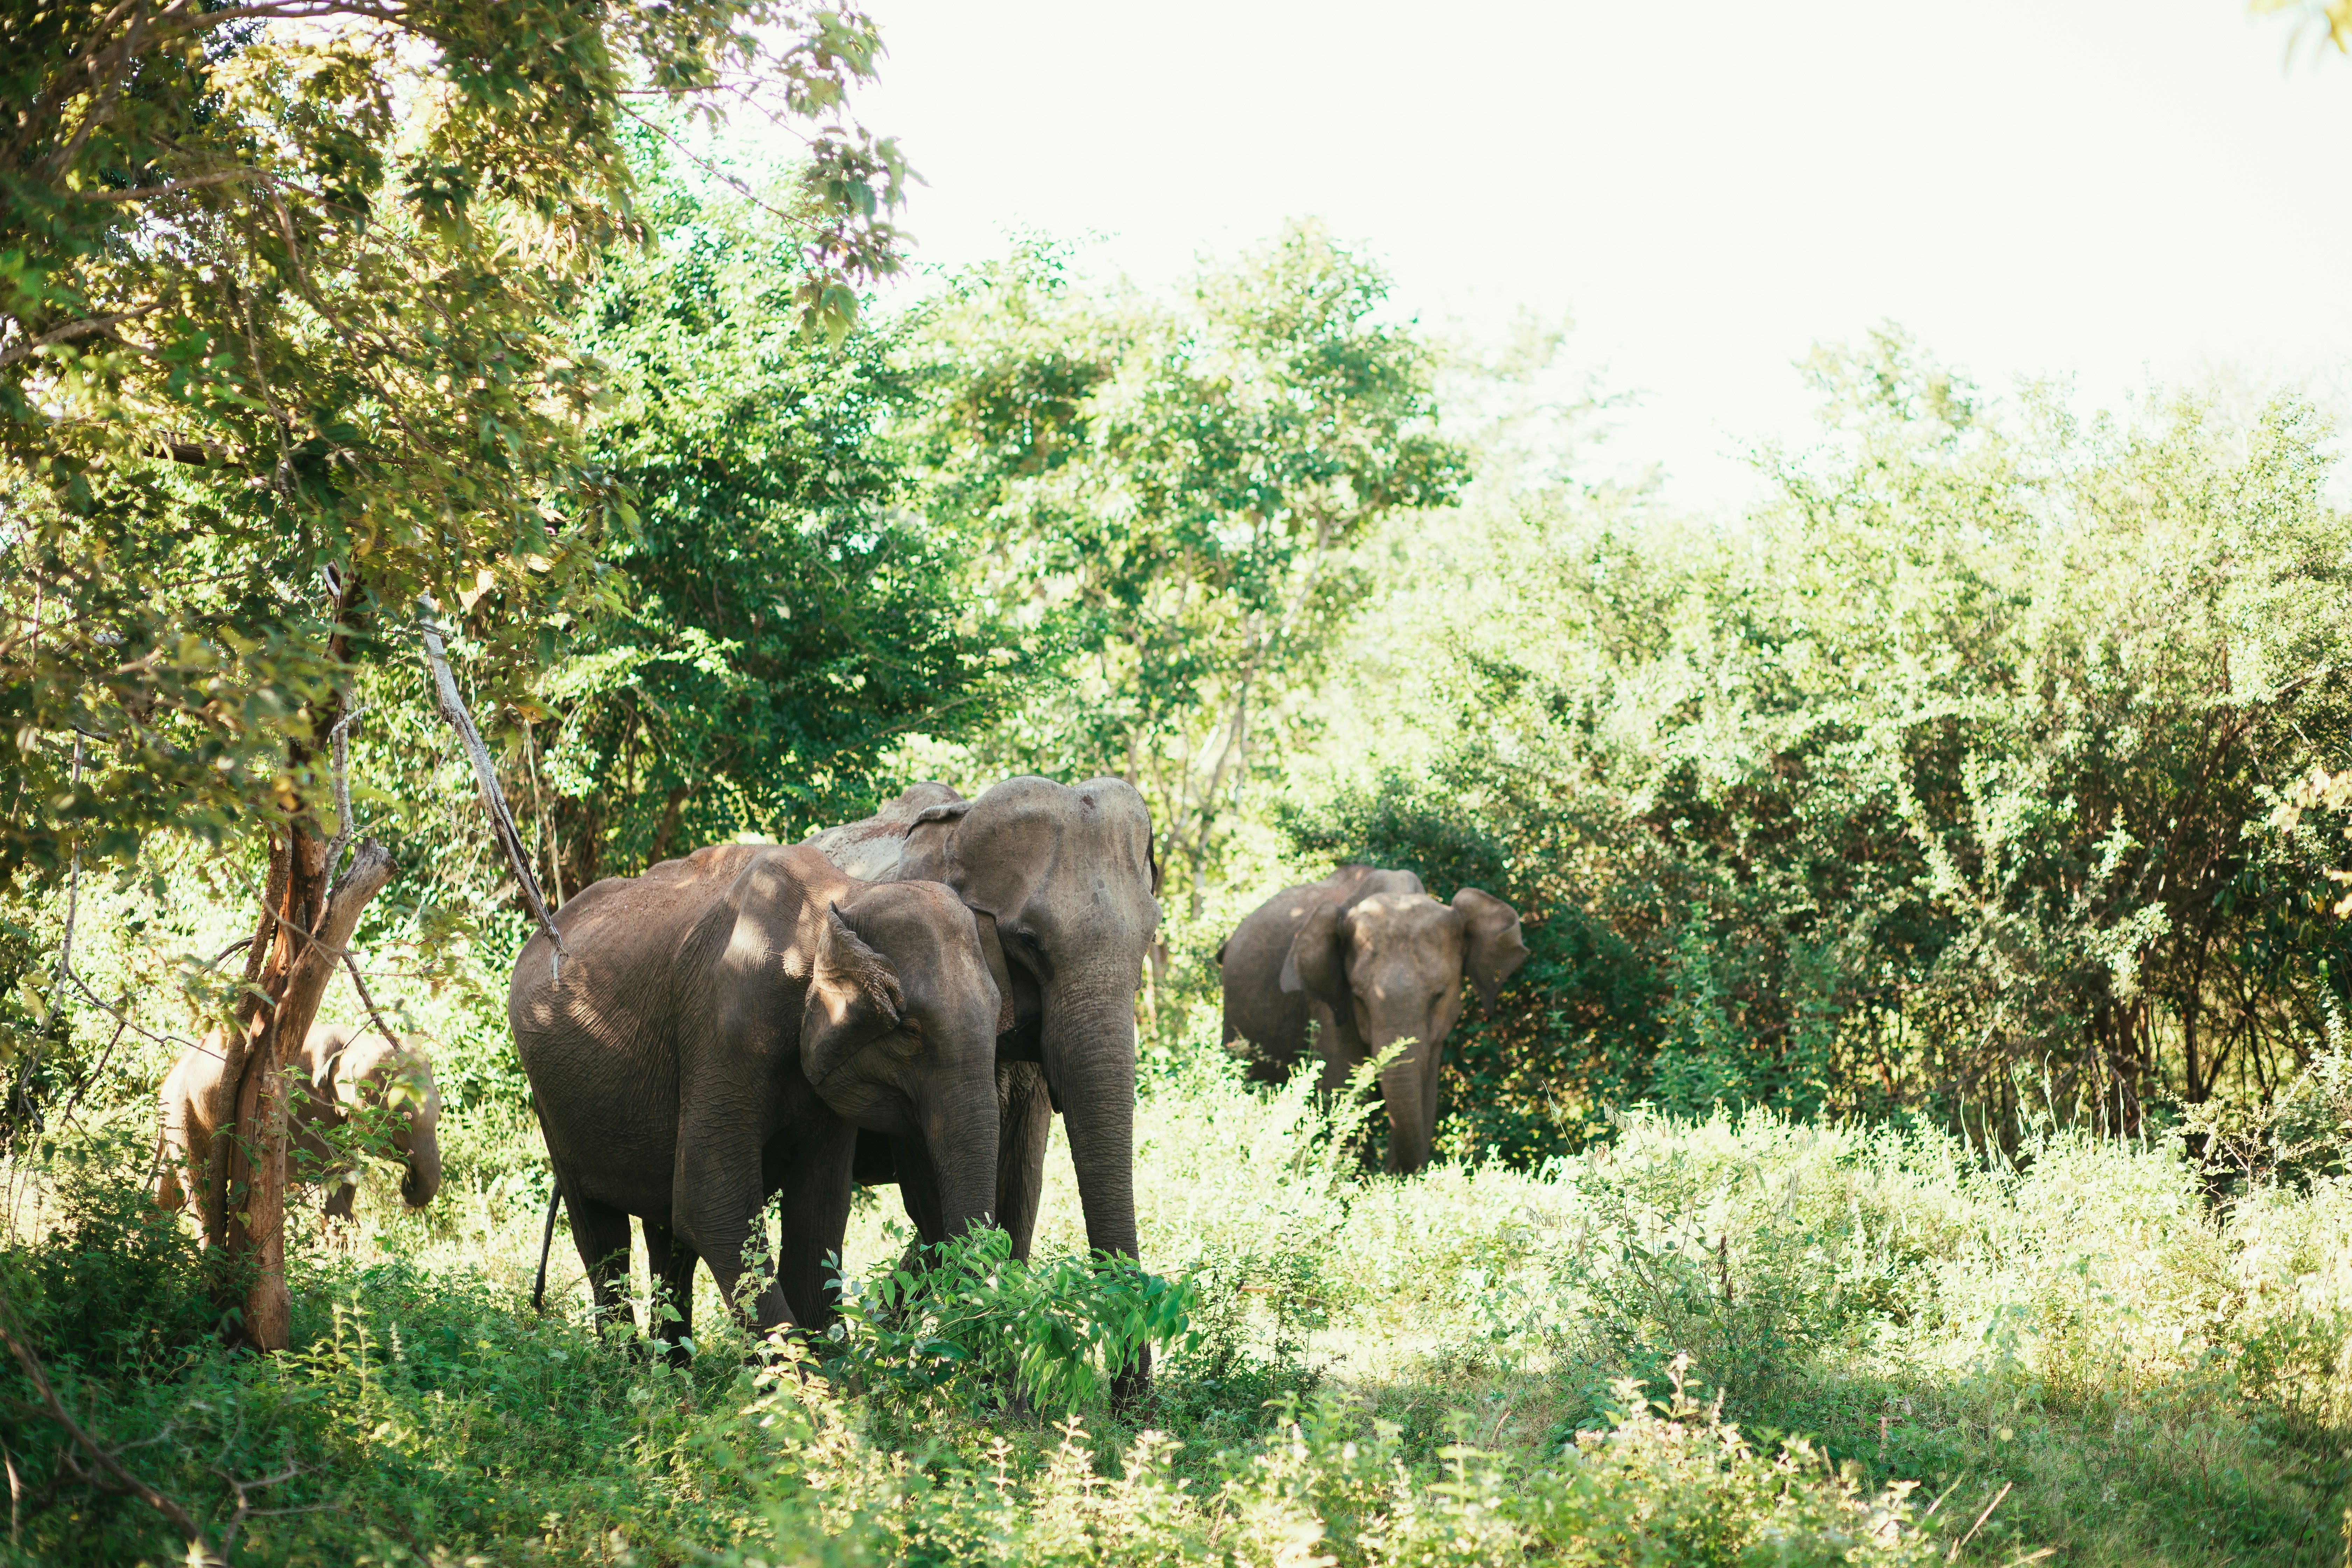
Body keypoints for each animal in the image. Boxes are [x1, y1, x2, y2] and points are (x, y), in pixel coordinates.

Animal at [156, 1020, 442, 1220]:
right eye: (399, 1121)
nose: (407, 1184)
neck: (350, 1043)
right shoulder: (299, 1107)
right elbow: (323, 1183)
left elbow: (344, 1176)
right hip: (185, 1116)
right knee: (201, 1193)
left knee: (167, 1193)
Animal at [508, 841, 1004, 1354]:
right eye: (909, 1031)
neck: (842, 896)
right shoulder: (724, 1024)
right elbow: (712, 1204)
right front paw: (806, 1374)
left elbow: (819, 1211)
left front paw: (836, 1367)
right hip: (550, 1102)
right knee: (602, 1235)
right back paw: (625, 1363)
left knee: (666, 1237)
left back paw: (669, 1368)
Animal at [1219, 866, 1527, 1173]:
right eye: (1359, 998)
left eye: (1439, 996)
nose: (1390, 1173)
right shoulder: (1329, 1004)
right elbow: (1343, 1088)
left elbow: (1427, 1095)